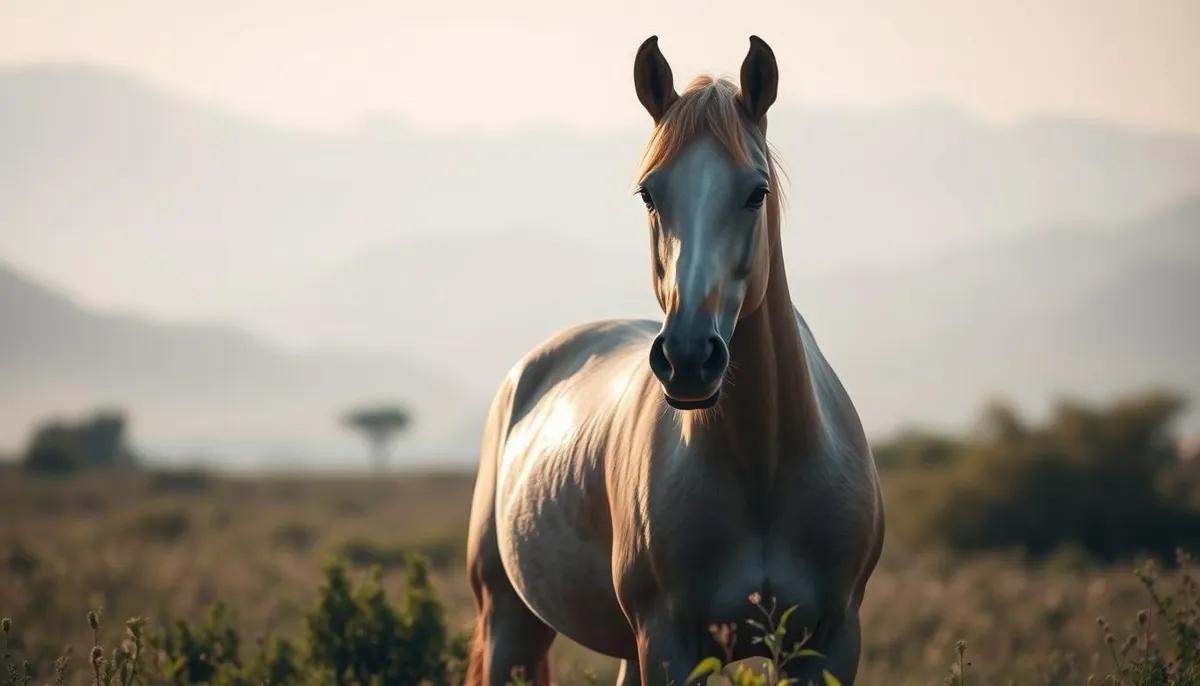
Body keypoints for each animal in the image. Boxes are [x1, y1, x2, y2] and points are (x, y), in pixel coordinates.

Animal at [464, 35, 885, 686]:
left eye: (756, 191)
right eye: (649, 192)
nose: (688, 357)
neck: (764, 464)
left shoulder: (830, 639)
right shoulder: (668, 641)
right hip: (511, 623)